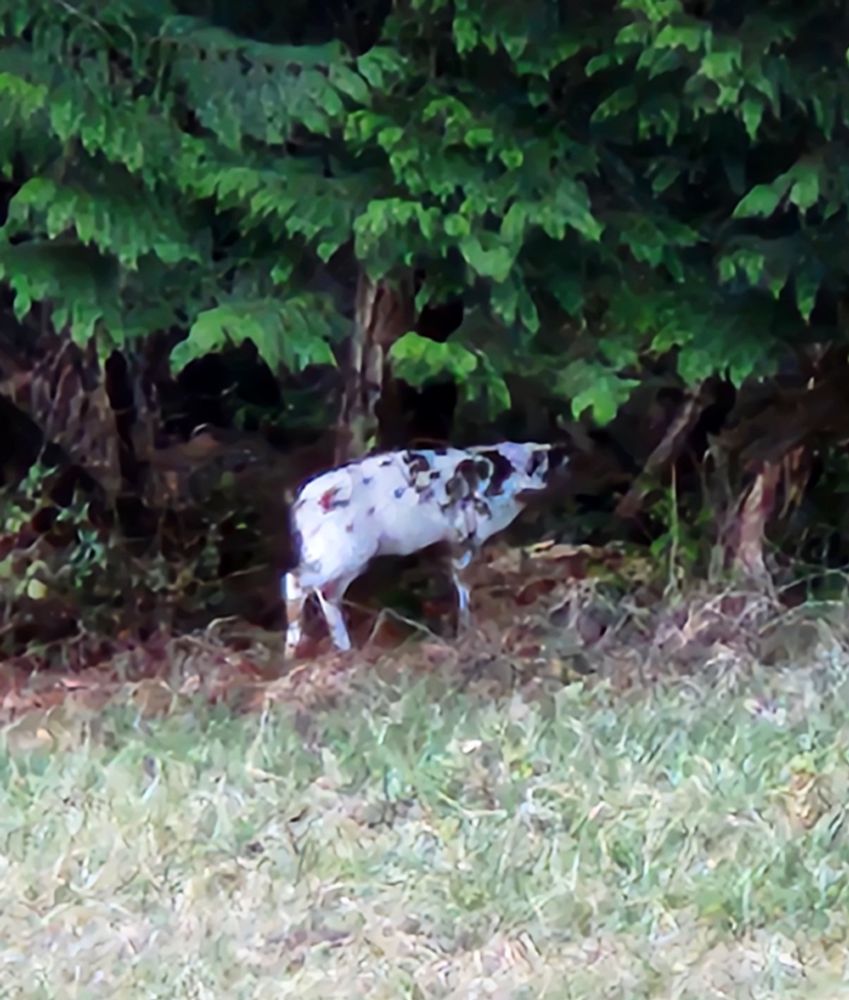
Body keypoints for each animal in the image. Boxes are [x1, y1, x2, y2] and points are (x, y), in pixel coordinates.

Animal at [282, 441, 569, 656]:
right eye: (548, 466)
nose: (565, 455)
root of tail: (302, 502)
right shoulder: (467, 536)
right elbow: (465, 584)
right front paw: (467, 631)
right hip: (340, 552)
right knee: (295, 580)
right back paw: (293, 650)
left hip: (351, 559)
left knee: (328, 594)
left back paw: (345, 650)